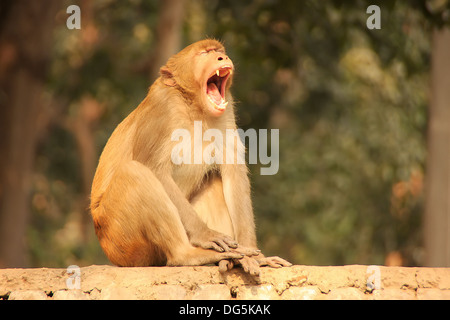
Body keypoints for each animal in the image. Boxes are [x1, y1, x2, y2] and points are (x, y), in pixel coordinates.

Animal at [90, 39, 292, 276]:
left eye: (218, 51)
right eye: (205, 53)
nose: (222, 58)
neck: (193, 107)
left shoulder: (226, 110)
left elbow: (233, 172)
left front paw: (256, 257)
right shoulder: (162, 106)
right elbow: (154, 169)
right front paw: (206, 235)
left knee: (214, 179)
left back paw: (229, 260)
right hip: (121, 241)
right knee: (135, 173)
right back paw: (188, 254)